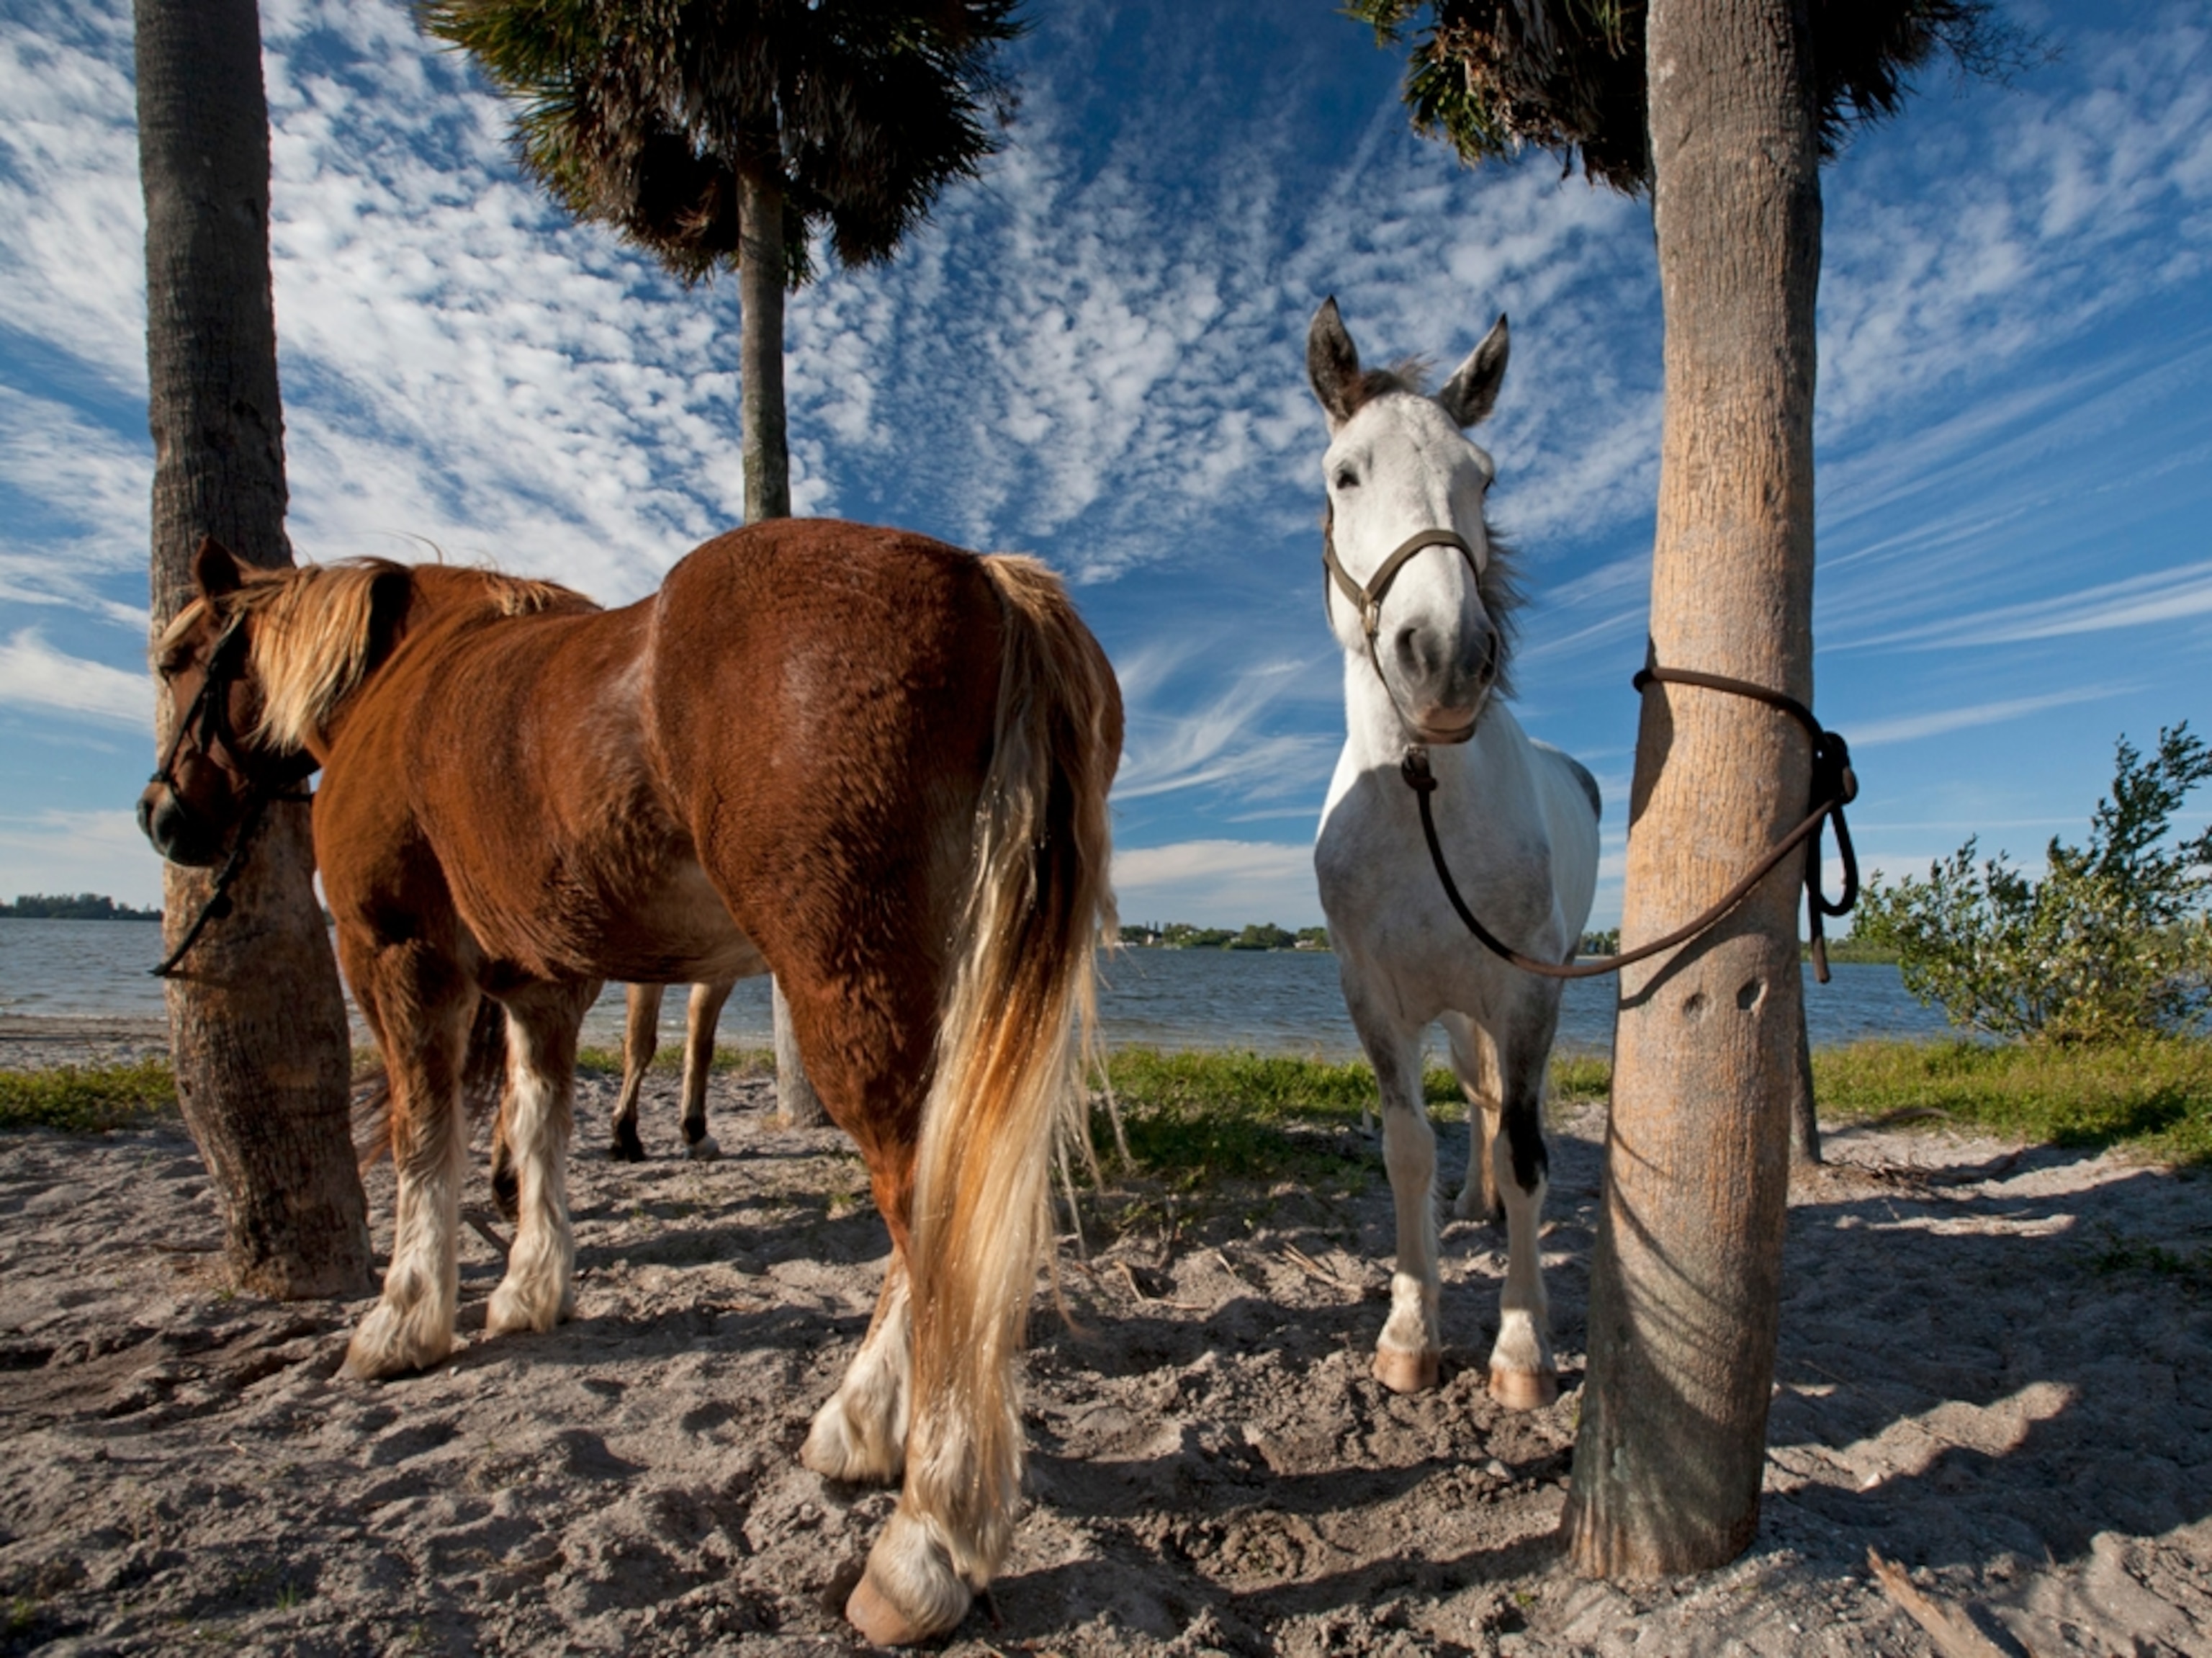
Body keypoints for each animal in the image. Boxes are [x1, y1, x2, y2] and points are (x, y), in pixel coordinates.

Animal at [138, 519, 1121, 1645]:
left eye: (178, 658)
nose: (163, 816)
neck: (401, 676)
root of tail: (984, 579)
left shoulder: (396, 954)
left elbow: (425, 1137)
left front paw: (404, 1320)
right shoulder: (541, 984)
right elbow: (538, 1123)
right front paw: (529, 1288)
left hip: (852, 993)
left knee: (935, 1221)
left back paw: (924, 1544)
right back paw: (858, 1427)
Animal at [1305, 298, 1600, 1410]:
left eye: (1484, 475)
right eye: (1345, 473)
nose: (1444, 658)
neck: (1421, 793)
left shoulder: (1526, 993)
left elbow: (1527, 1150)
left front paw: (1522, 1347)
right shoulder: (1375, 997)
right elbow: (1405, 1150)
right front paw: (1409, 1333)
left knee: (1504, 1110)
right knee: (1474, 1097)